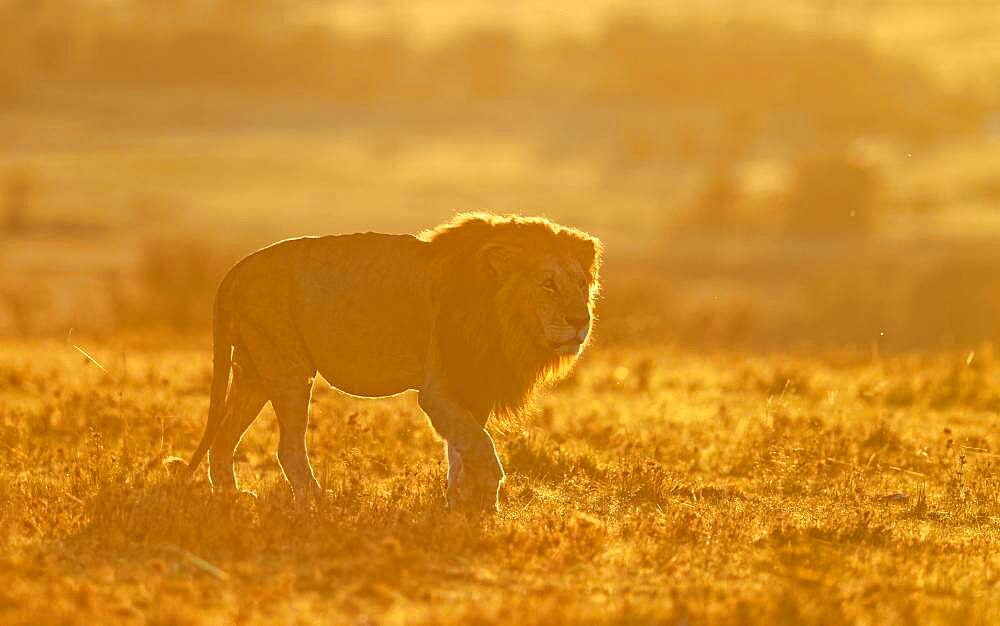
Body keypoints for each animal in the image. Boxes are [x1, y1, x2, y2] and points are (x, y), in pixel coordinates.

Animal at [184, 212, 600, 510]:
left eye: (581, 284)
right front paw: (483, 499)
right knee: (286, 447)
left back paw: (231, 497)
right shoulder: (438, 389)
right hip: (288, 368)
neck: (505, 321)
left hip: (254, 372)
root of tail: (234, 272)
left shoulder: (472, 386)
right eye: (547, 284)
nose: (580, 321)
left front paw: (459, 503)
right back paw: (316, 502)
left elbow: (461, 449)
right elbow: (480, 446)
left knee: (224, 438)